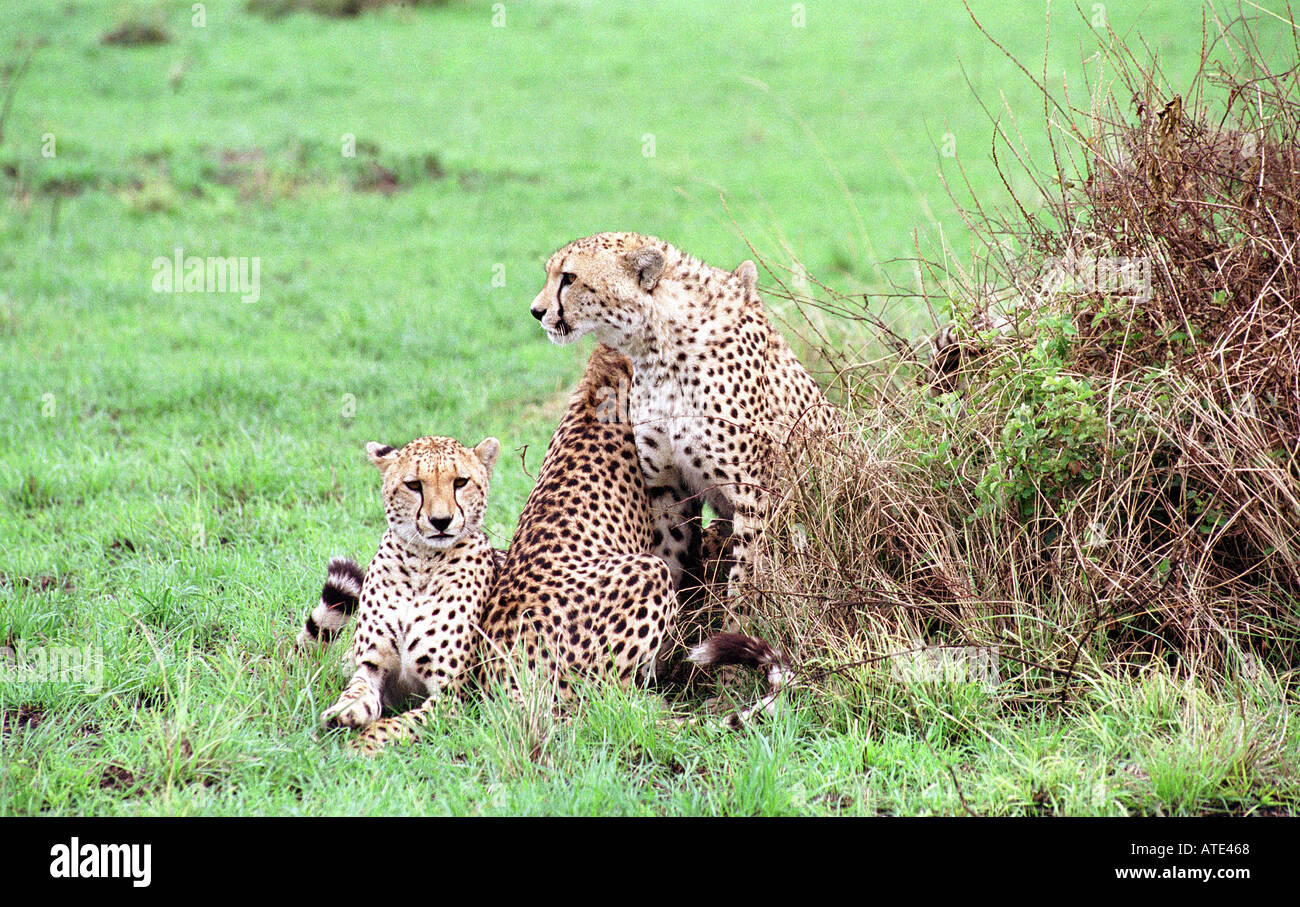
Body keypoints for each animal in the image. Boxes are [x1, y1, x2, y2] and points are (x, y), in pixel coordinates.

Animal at [317, 434, 504, 743]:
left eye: (460, 482)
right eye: (414, 485)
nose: (441, 521)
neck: (422, 564)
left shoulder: (453, 696)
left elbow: (397, 725)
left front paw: (360, 744)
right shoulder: (371, 665)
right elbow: (357, 689)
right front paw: (346, 709)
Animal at [530, 232, 842, 615]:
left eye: (569, 278)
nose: (536, 311)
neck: (660, 350)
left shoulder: (754, 495)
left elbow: (745, 581)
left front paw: (739, 624)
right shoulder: (668, 489)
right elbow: (669, 559)